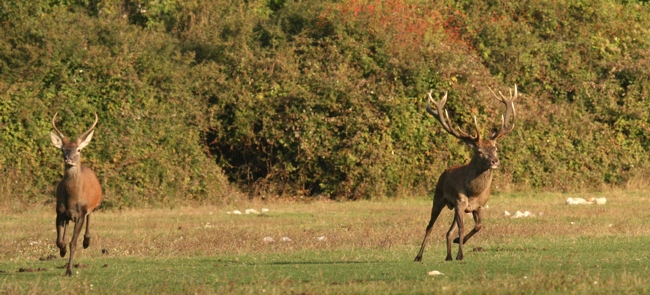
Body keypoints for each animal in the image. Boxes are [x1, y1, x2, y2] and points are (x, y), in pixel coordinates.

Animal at [50, 112, 102, 276]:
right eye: (62, 149)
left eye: (78, 149)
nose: (69, 159)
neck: (72, 199)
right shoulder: (59, 212)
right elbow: (60, 241)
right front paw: (62, 251)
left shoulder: (80, 214)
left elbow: (73, 243)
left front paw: (69, 271)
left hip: (92, 206)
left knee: (90, 217)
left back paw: (86, 241)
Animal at [412, 86, 512, 264]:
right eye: (479, 151)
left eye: (495, 148)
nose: (495, 161)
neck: (474, 191)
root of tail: (444, 172)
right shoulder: (460, 202)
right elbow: (462, 227)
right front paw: (460, 254)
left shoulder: (478, 205)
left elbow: (478, 226)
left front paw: (459, 243)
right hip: (438, 197)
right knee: (430, 226)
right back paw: (418, 256)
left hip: (456, 207)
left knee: (448, 231)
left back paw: (448, 256)